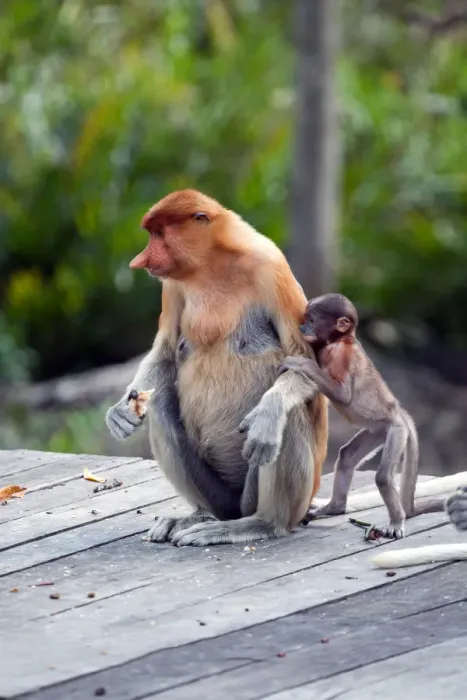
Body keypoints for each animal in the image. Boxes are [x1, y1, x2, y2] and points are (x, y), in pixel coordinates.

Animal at [105, 189, 328, 546]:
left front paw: (267, 418)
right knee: (161, 400)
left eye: (159, 233)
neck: (212, 265)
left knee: (287, 414)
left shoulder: (272, 267)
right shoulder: (173, 286)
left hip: (278, 494)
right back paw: (199, 516)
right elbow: (165, 351)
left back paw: (261, 524)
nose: (139, 261)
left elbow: (303, 359)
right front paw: (120, 413)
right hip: (221, 495)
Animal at [279, 292, 452, 540]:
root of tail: (398, 411)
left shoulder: (339, 355)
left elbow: (343, 394)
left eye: (312, 320)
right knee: (346, 456)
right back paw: (334, 507)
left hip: (396, 431)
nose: (303, 327)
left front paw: (299, 363)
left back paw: (395, 522)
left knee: (382, 477)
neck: (343, 340)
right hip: (378, 431)